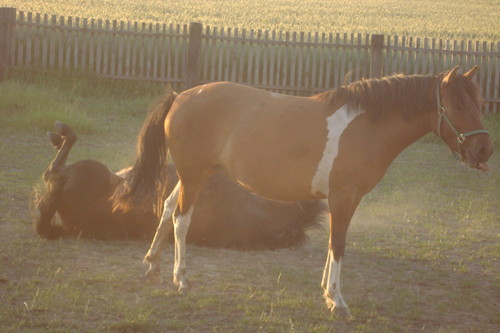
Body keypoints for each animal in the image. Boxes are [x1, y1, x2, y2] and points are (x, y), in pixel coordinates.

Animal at [115, 67, 494, 314]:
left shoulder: (345, 200)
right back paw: (180, 279)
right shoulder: (343, 197)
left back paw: (153, 264)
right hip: (194, 176)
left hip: (191, 175)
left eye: (479, 102)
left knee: (166, 208)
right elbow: (338, 245)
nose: (485, 151)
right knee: (181, 220)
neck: (364, 126)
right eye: (457, 106)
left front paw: (327, 293)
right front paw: (337, 301)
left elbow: (332, 244)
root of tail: (181, 96)